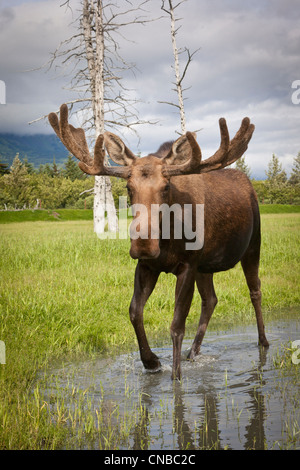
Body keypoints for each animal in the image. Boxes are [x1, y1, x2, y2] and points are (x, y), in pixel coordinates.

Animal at [48, 104, 268, 380]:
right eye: (129, 187)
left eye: (166, 187)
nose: (143, 243)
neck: (168, 240)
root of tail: (250, 185)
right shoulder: (147, 265)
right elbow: (134, 312)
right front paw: (151, 361)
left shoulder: (187, 265)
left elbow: (176, 325)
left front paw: (176, 378)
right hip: (205, 266)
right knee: (211, 300)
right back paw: (193, 353)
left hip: (253, 245)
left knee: (255, 290)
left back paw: (263, 343)